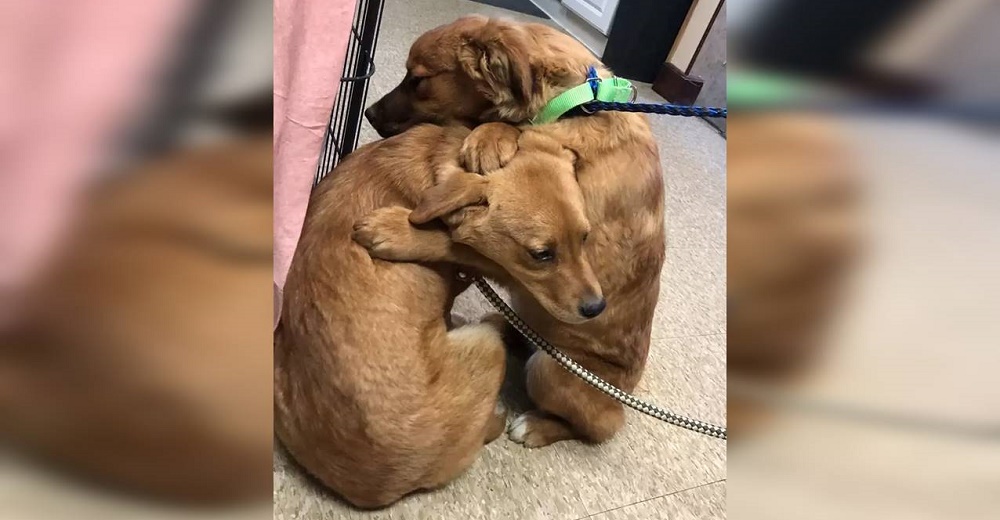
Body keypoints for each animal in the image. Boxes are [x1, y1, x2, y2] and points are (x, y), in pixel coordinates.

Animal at [274, 123, 596, 508]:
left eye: (585, 237)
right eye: (541, 254)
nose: (597, 307)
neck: (433, 164)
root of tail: (381, 490)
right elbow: (460, 249)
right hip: (487, 345)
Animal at [366, 16, 664, 446]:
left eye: (418, 79)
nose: (369, 113)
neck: (575, 104)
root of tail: (623, 395)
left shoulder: (542, 260)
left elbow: (452, 242)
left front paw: (398, 231)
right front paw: (494, 135)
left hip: (550, 371)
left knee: (597, 427)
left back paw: (537, 426)